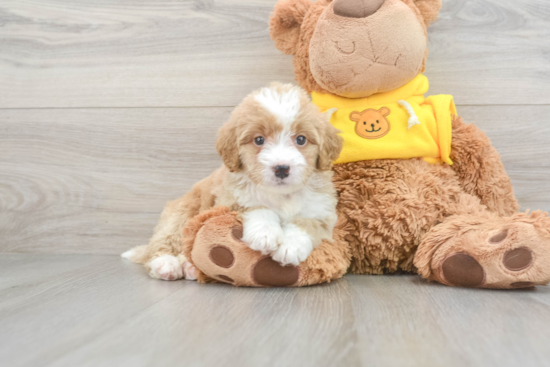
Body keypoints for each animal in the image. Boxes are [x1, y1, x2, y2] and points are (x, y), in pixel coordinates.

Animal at [123, 83, 342, 280]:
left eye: (301, 140)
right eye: (259, 140)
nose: (281, 168)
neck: (281, 195)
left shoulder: (323, 212)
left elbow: (306, 222)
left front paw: (291, 246)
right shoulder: (230, 200)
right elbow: (257, 207)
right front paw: (265, 234)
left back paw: (190, 268)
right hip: (182, 211)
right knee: (166, 239)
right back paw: (166, 264)